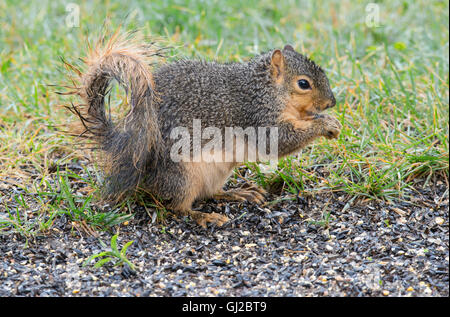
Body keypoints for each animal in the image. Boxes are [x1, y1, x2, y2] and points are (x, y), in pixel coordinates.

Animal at [64, 31, 342, 227]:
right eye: (303, 83)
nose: (332, 102)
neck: (264, 89)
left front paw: (328, 121)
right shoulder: (256, 115)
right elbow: (279, 140)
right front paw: (324, 124)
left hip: (215, 173)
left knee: (211, 193)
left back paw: (239, 193)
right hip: (180, 175)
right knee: (175, 207)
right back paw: (204, 217)